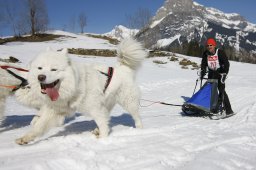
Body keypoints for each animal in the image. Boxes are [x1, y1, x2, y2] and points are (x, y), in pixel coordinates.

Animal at [15, 37, 148, 144]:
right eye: (40, 68)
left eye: (54, 69)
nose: (41, 77)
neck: (73, 87)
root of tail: (123, 69)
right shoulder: (54, 111)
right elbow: (39, 126)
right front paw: (25, 138)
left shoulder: (95, 108)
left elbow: (103, 125)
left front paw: (103, 140)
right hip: (107, 103)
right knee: (107, 117)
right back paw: (97, 131)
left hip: (128, 102)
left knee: (136, 117)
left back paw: (139, 130)